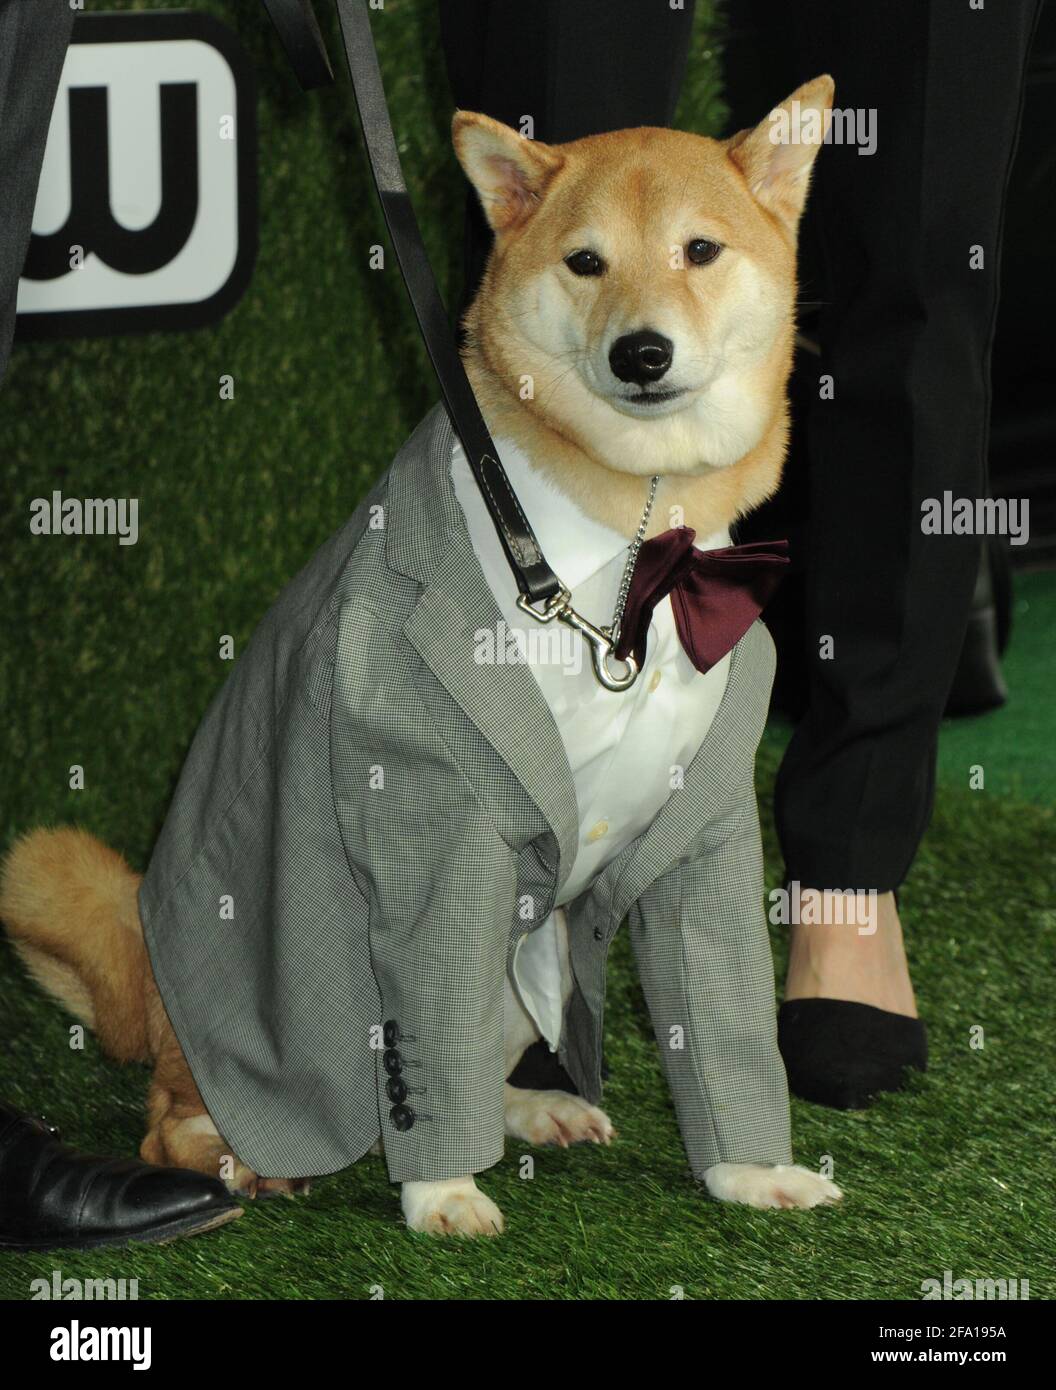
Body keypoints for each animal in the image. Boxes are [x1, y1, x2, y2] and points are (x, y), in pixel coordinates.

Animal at [0, 73, 839, 1239]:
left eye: (701, 250)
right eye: (586, 262)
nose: (641, 353)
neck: (634, 547)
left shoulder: (702, 838)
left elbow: (722, 1018)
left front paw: (752, 1171)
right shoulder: (434, 829)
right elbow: (427, 1038)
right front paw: (442, 1187)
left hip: (524, 963)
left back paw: (532, 1109)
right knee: (176, 1122)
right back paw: (245, 1163)